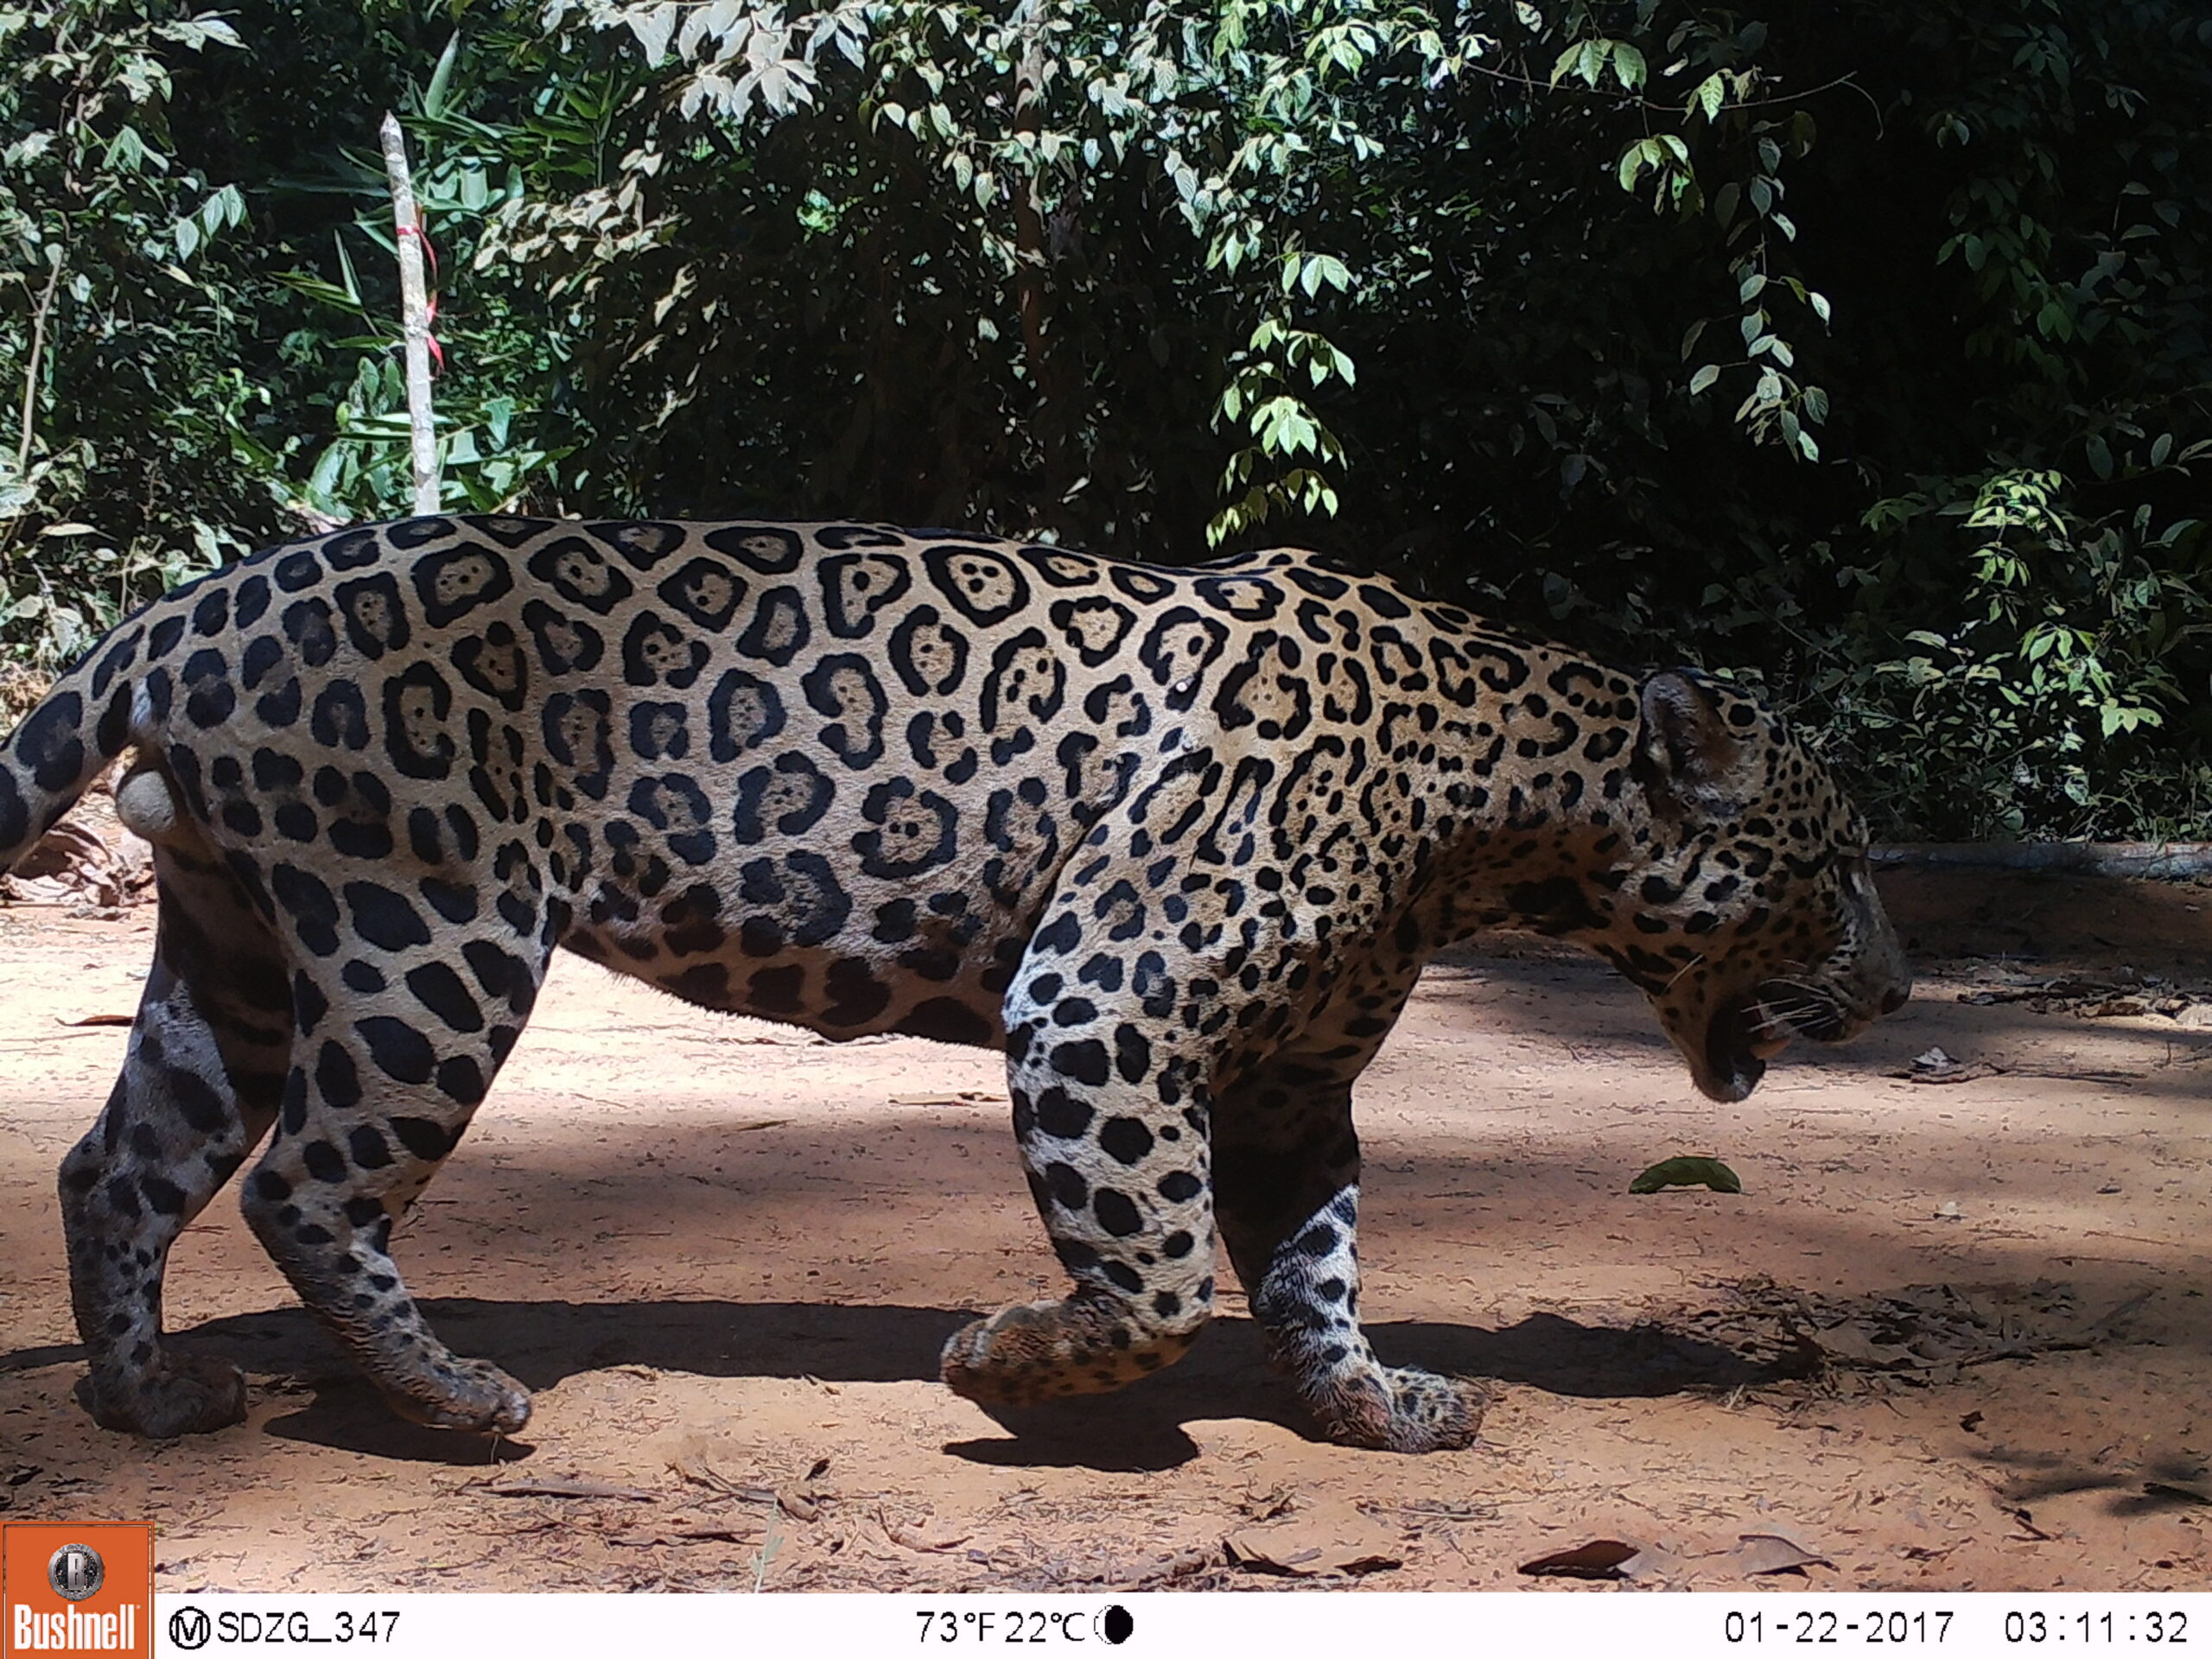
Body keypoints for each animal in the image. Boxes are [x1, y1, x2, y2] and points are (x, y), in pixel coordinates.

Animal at [0, 515, 1910, 1453]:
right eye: (1836, 869)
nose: (1896, 991)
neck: (1500, 806)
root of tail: (191, 605)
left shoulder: (1294, 1085)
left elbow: (1312, 1265)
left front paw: (1368, 1407)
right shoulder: (1100, 1003)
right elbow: (1160, 1272)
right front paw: (1000, 1364)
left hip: (238, 950)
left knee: (119, 1169)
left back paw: (146, 1404)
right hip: (430, 934)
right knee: (309, 1185)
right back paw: (448, 1401)